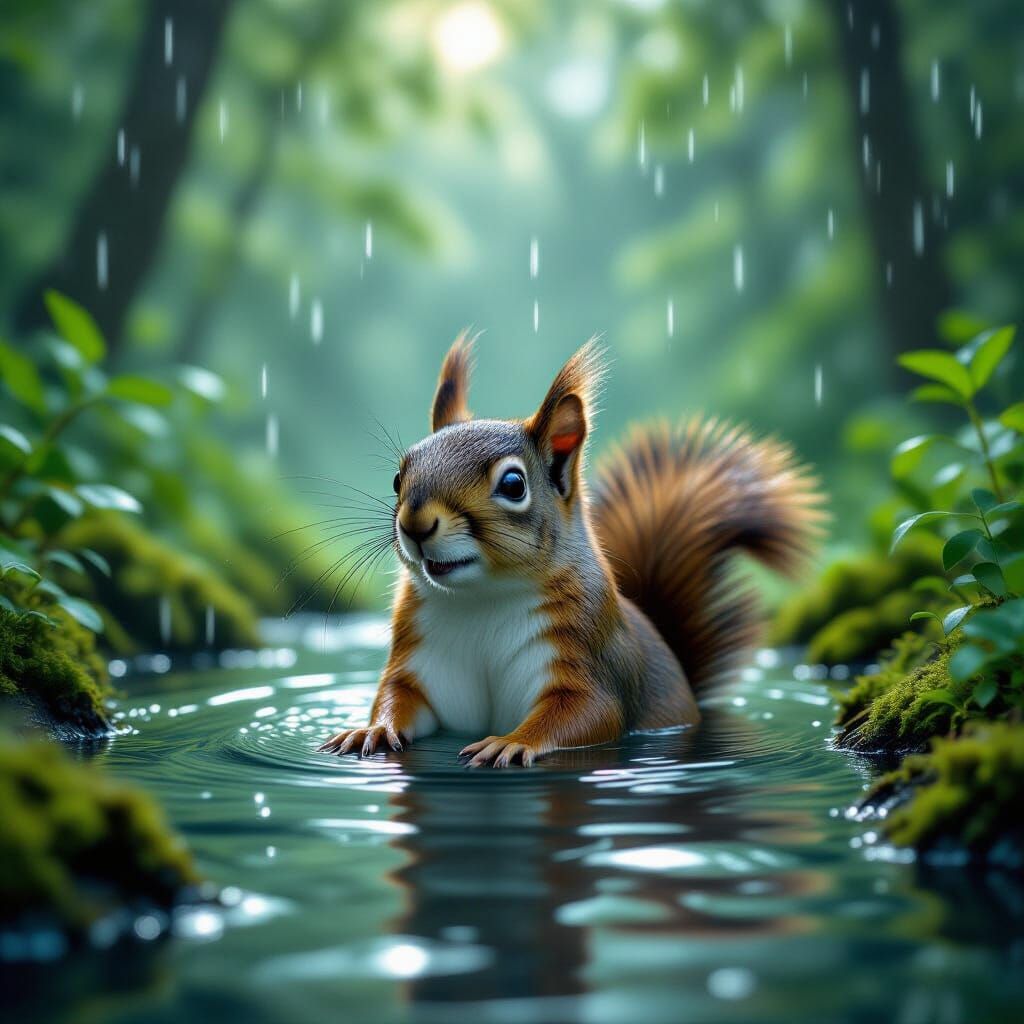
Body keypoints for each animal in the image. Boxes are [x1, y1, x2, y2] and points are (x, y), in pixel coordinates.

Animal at [319, 334, 823, 767]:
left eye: (513, 484)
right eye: (398, 478)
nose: (414, 524)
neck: (481, 599)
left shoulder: (585, 659)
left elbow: (587, 712)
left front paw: (512, 741)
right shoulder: (418, 664)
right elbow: (398, 694)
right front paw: (371, 730)